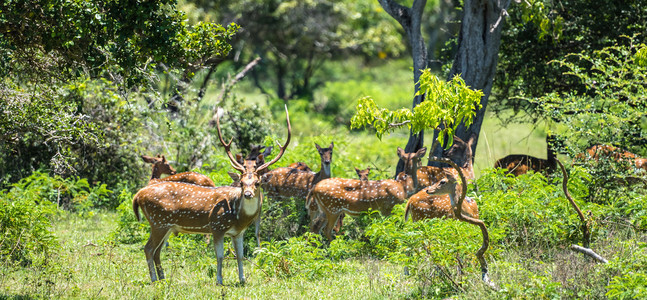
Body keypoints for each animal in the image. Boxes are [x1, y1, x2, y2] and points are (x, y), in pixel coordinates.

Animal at [133, 105, 290, 284]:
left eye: (257, 183)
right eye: (242, 183)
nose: (248, 194)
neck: (238, 217)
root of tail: (138, 196)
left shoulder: (238, 233)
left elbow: (241, 256)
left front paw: (242, 279)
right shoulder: (217, 226)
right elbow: (220, 256)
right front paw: (219, 280)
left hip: (165, 225)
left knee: (157, 250)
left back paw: (162, 277)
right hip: (158, 221)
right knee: (148, 248)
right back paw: (154, 279)